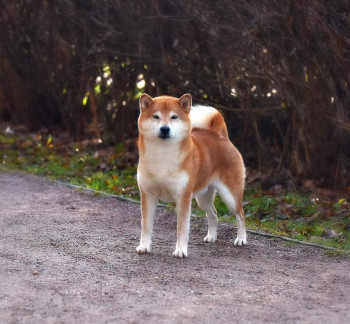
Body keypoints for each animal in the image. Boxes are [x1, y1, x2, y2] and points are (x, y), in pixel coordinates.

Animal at [135, 93, 245, 258]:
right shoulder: (148, 195)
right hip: (203, 198)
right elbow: (146, 226)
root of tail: (221, 137)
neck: (163, 155)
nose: (165, 129)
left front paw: (180, 250)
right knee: (213, 215)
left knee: (241, 215)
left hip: (230, 196)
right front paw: (144, 246)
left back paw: (241, 239)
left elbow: (182, 228)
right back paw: (211, 236)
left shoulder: (183, 197)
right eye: (156, 116)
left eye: (174, 117)